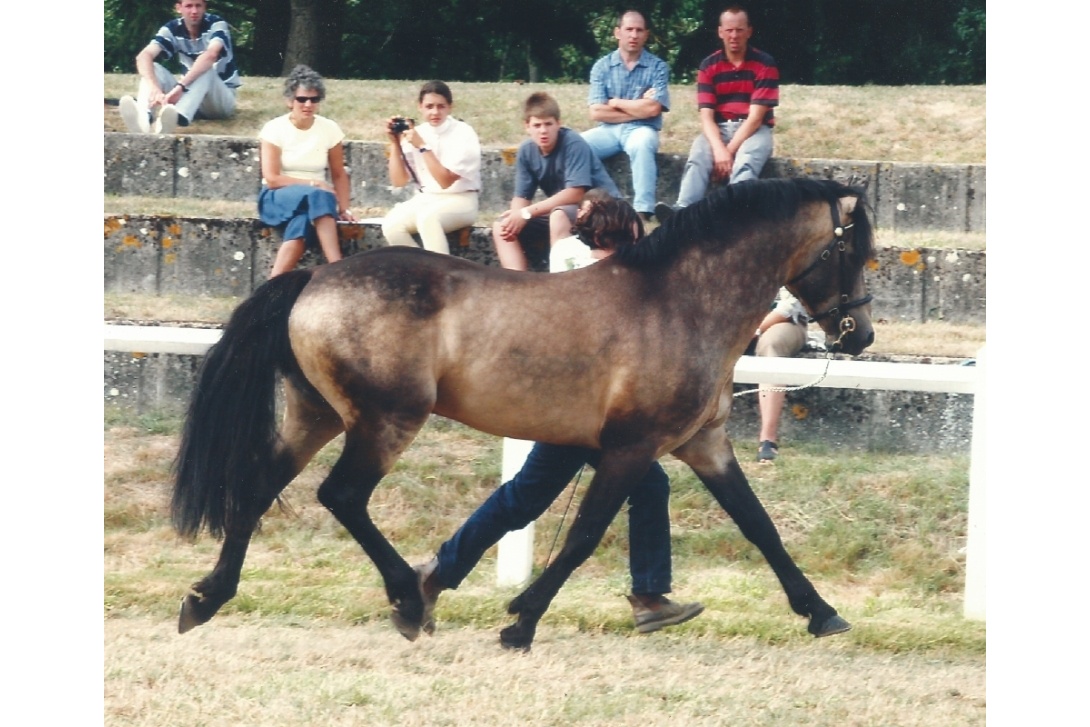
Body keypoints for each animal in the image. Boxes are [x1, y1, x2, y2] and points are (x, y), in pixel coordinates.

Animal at [170, 174, 876, 649]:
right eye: (855, 250)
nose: (859, 335)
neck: (680, 302)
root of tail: (313, 280)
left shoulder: (702, 443)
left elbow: (759, 526)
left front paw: (820, 612)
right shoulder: (631, 448)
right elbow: (584, 536)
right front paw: (522, 621)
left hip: (314, 415)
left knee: (257, 487)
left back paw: (207, 598)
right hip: (385, 421)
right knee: (341, 496)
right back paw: (408, 601)